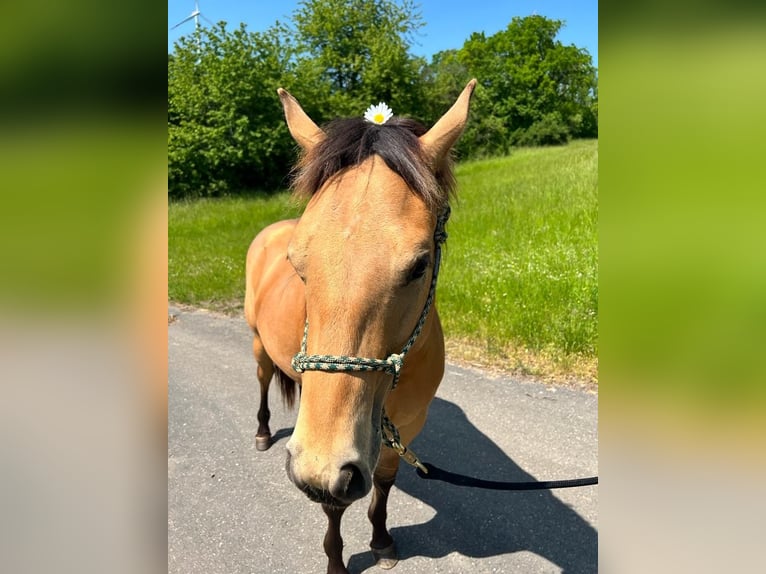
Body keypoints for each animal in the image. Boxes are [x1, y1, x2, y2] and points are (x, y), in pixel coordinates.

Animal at [244, 79, 476, 574]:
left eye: (420, 264)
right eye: (297, 262)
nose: (318, 462)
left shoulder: (402, 429)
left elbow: (384, 483)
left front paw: (382, 540)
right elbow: (332, 503)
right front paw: (336, 561)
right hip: (257, 345)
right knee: (262, 380)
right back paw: (262, 432)